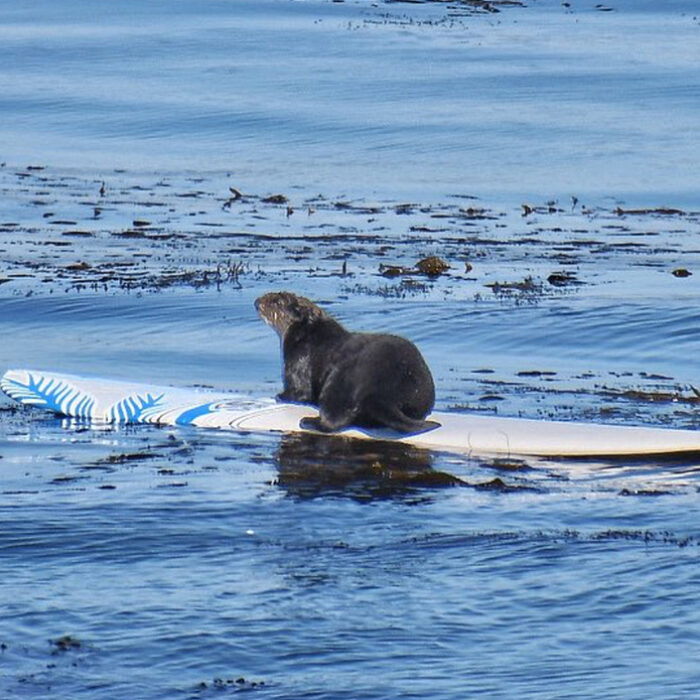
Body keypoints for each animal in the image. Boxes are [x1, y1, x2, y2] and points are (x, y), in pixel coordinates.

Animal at [255, 291, 438, 434]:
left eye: (277, 301)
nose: (257, 302)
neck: (310, 333)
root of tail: (383, 393)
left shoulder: (298, 359)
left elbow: (300, 392)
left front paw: (281, 396)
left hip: (341, 381)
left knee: (332, 420)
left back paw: (309, 421)